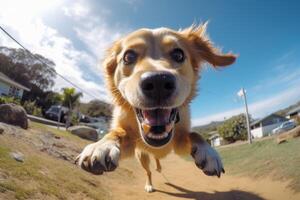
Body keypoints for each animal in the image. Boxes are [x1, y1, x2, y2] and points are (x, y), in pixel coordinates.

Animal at [75, 23, 237, 192]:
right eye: (128, 56)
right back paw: (149, 184)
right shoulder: (131, 144)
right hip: (142, 157)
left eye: (178, 54)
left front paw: (209, 152)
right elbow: (117, 133)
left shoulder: (179, 143)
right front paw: (101, 146)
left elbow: (194, 134)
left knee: (158, 160)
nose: (158, 82)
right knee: (149, 171)